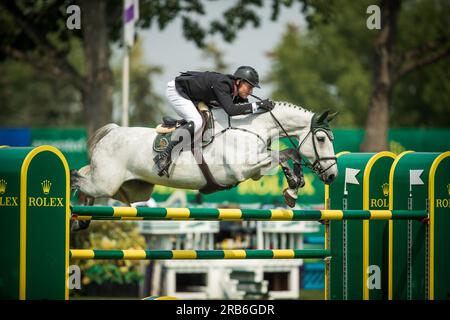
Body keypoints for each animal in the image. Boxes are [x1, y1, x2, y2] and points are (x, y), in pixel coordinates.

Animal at [71, 101, 338, 208]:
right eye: (321, 139)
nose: (333, 176)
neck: (252, 127)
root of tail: (113, 132)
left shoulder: (254, 172)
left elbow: (290, 153)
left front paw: (294, 187)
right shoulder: (242, 169)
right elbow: (281, 155)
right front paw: (293, 185)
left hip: (132, 188)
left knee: (86, 175)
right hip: (105, 182)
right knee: (78, 178)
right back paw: (78, 214)